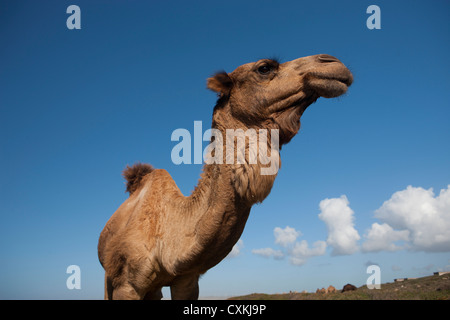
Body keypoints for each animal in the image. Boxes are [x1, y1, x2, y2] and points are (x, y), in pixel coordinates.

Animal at [97, 53, 352, 300]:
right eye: (264, 68)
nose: (333, 62)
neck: (167, 236)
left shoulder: (186, 280)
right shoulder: (127, 284)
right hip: (110, 277)